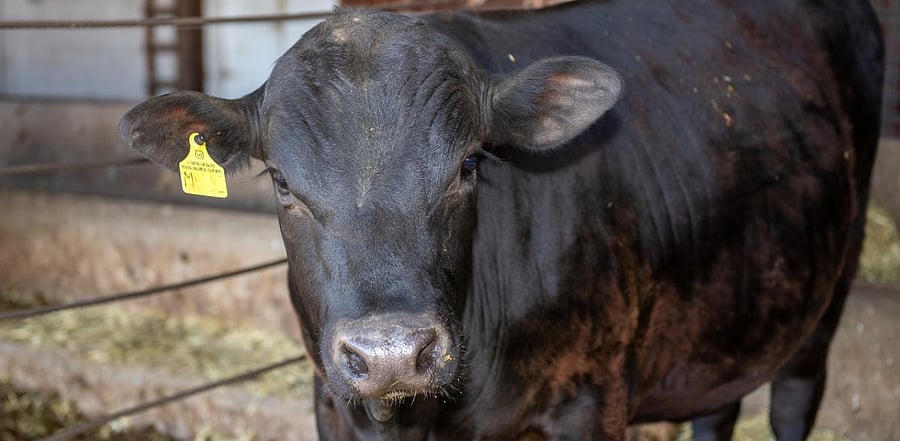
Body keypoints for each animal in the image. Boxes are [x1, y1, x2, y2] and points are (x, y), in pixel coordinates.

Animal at [119, 0, 884, 439]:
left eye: (467, 165)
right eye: (281, 182)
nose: (392, 353)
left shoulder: (588, 403)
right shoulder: (331, 402)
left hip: (830, 284)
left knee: (794, 396)